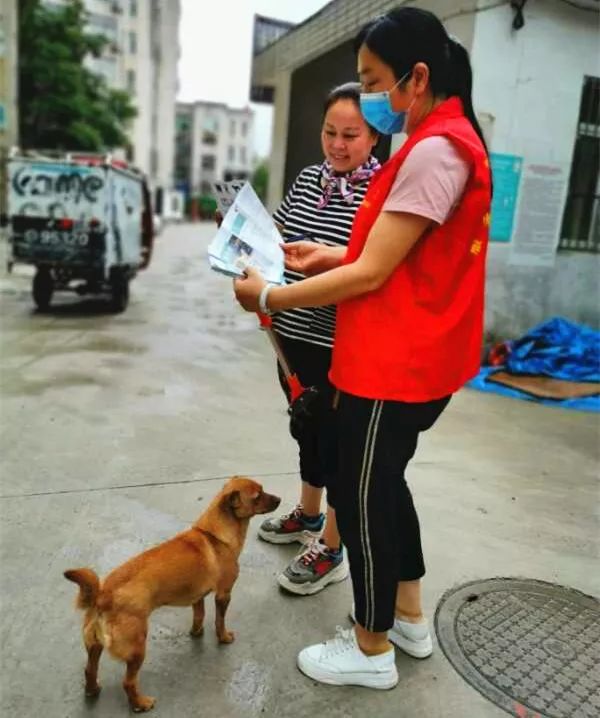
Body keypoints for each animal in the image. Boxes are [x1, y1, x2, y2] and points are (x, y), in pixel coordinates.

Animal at [64, 478, 280, 716]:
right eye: (258, 496)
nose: (279, 499)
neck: (213, 535)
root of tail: (102, 595)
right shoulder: (223, 594)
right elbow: (219, 620)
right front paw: (223, 637)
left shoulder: (198, 596)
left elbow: (199, 614)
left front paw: (196, 632)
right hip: (137, 648)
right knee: (128, 682)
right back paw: (140, 703)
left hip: (94, 646)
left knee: (89, 669)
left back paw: (92, 690)